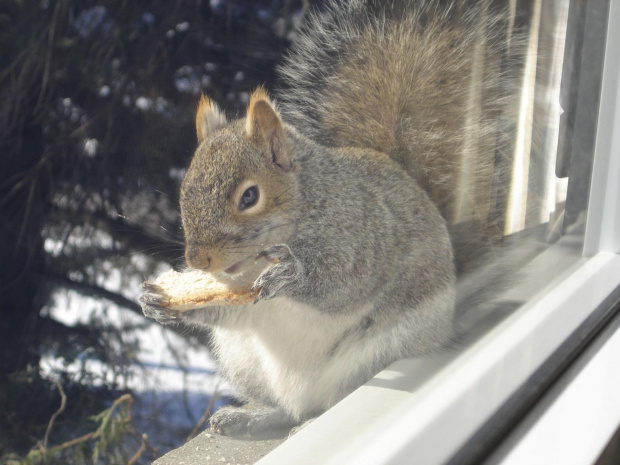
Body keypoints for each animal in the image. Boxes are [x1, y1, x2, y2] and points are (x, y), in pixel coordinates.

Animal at [140, 0, 520, 436]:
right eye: (184, 187)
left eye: (249, 196)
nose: (198, 261)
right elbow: (228, 308)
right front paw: (157, 299)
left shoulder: (361, 235)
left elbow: (344, 283)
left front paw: (292, 274)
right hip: (243, 363)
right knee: (285, 407)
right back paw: (252, 416)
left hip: (378, 352)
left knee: (330, 403)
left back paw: (306, 424)